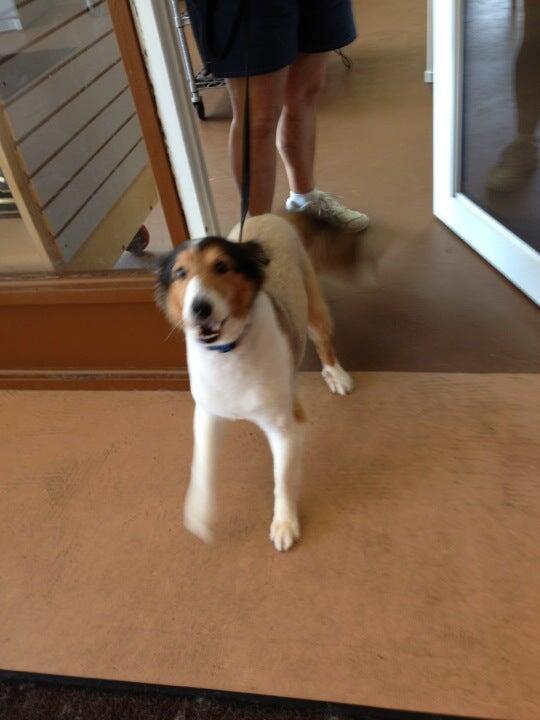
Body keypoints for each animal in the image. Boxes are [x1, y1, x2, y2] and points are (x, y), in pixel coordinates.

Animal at [156, 213, 352, 551]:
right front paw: (199, 512)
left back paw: (335, 374)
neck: (228, 351)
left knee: (323, 339)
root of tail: (270, 215)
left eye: (221, 266)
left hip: (313, 305)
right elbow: (203, 466)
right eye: (180, 273)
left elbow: (282, 481)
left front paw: (284, 524)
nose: (199, 308)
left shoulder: (285, 427)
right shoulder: (207, 414)